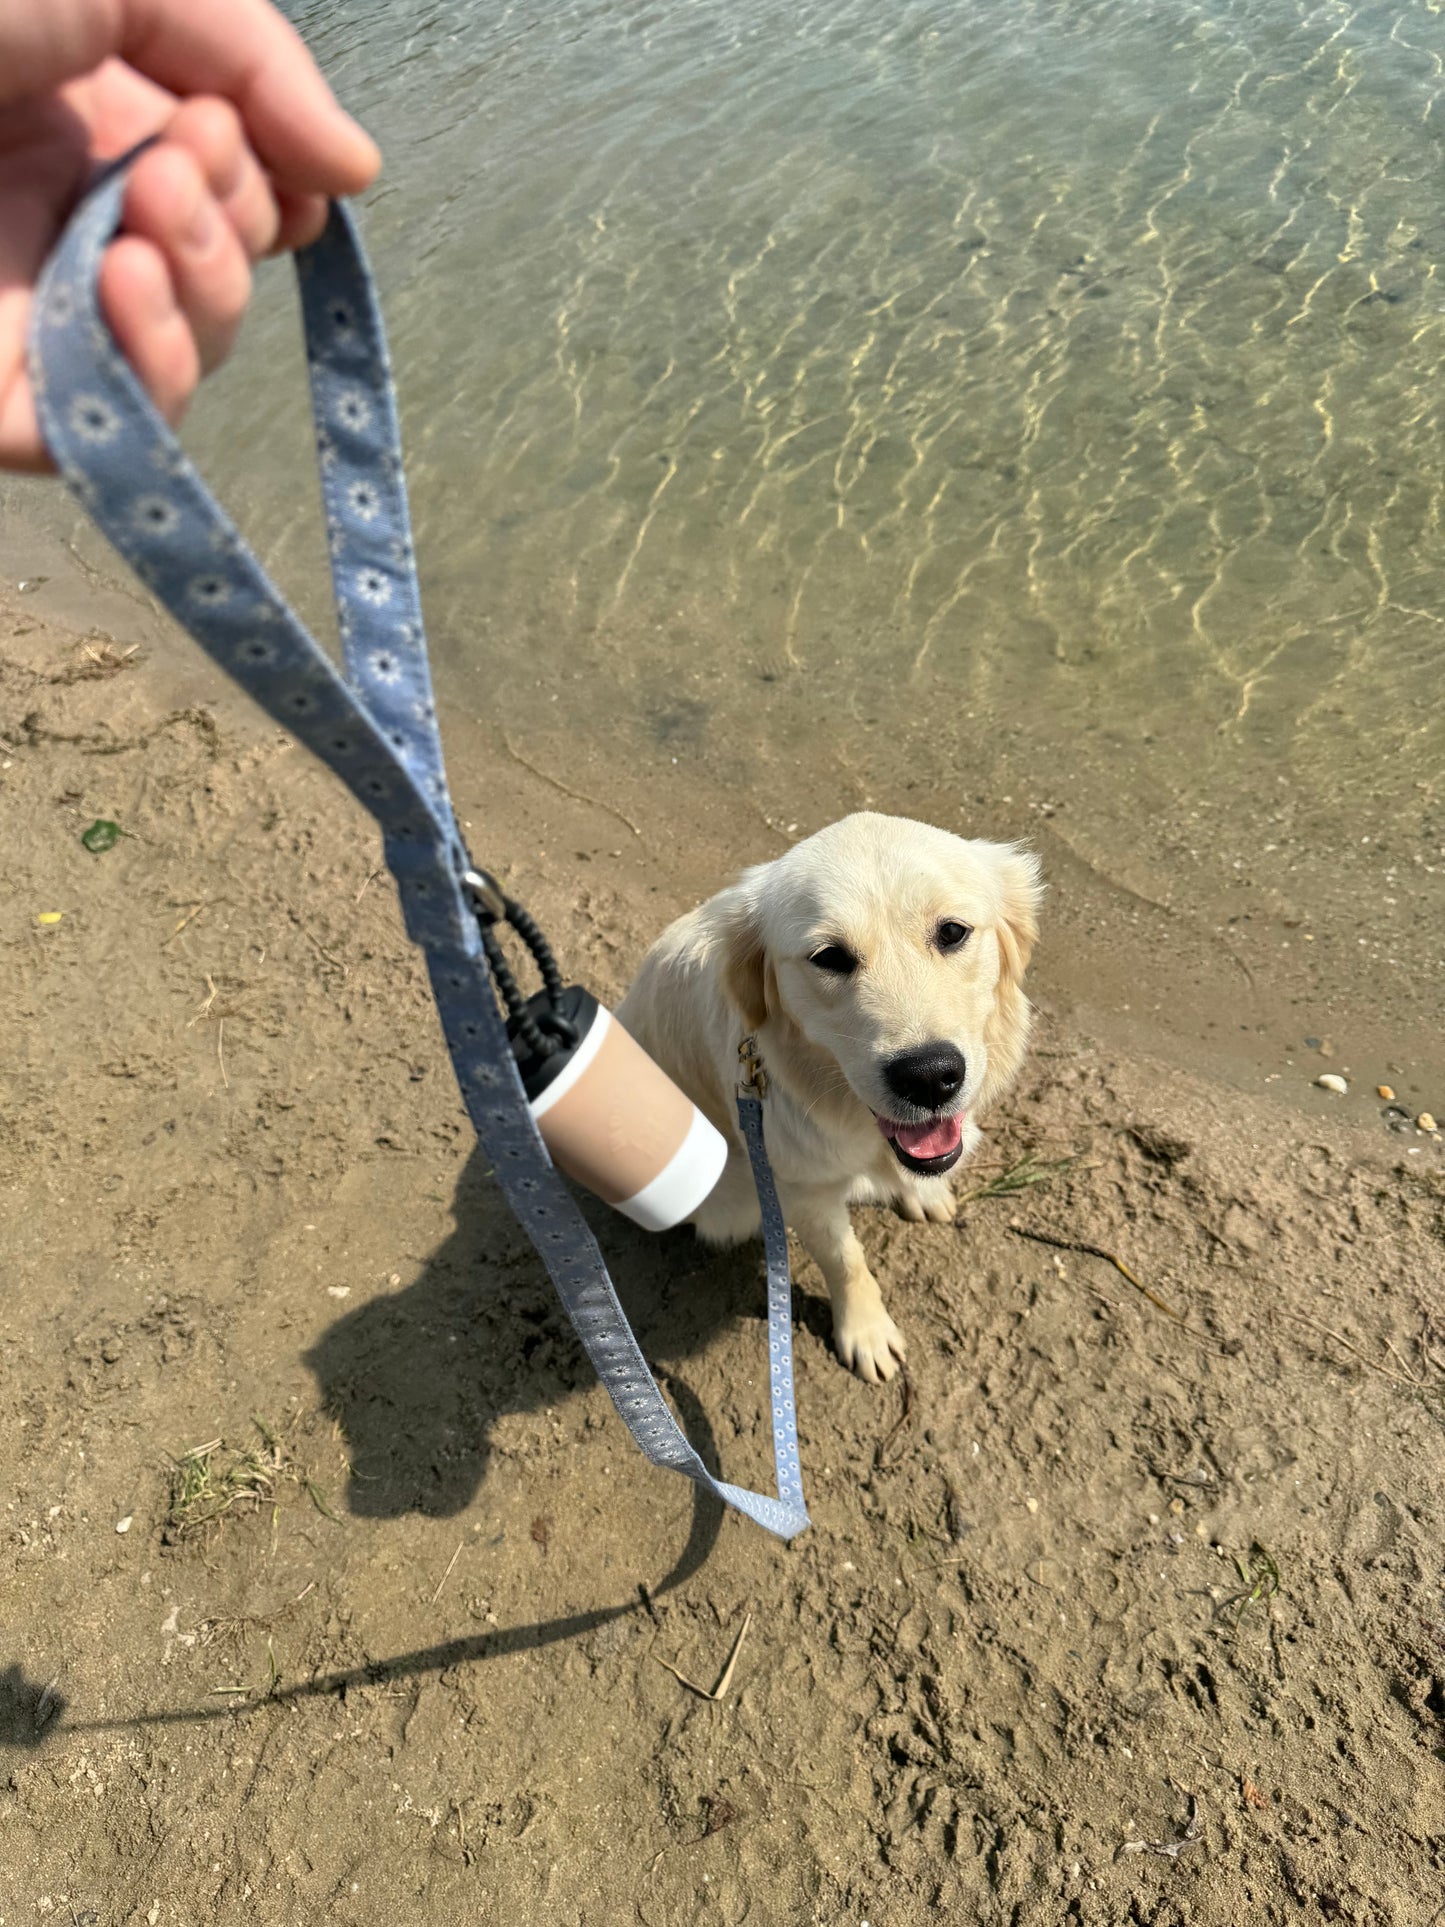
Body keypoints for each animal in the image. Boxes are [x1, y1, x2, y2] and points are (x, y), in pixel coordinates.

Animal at [616, 813, 1048, 1387]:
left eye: (952, 932)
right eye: (830, 958)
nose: (929, 1077)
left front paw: (923, 1191)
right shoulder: (801, 1190)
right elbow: (846, 1262)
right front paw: (865, 1332)